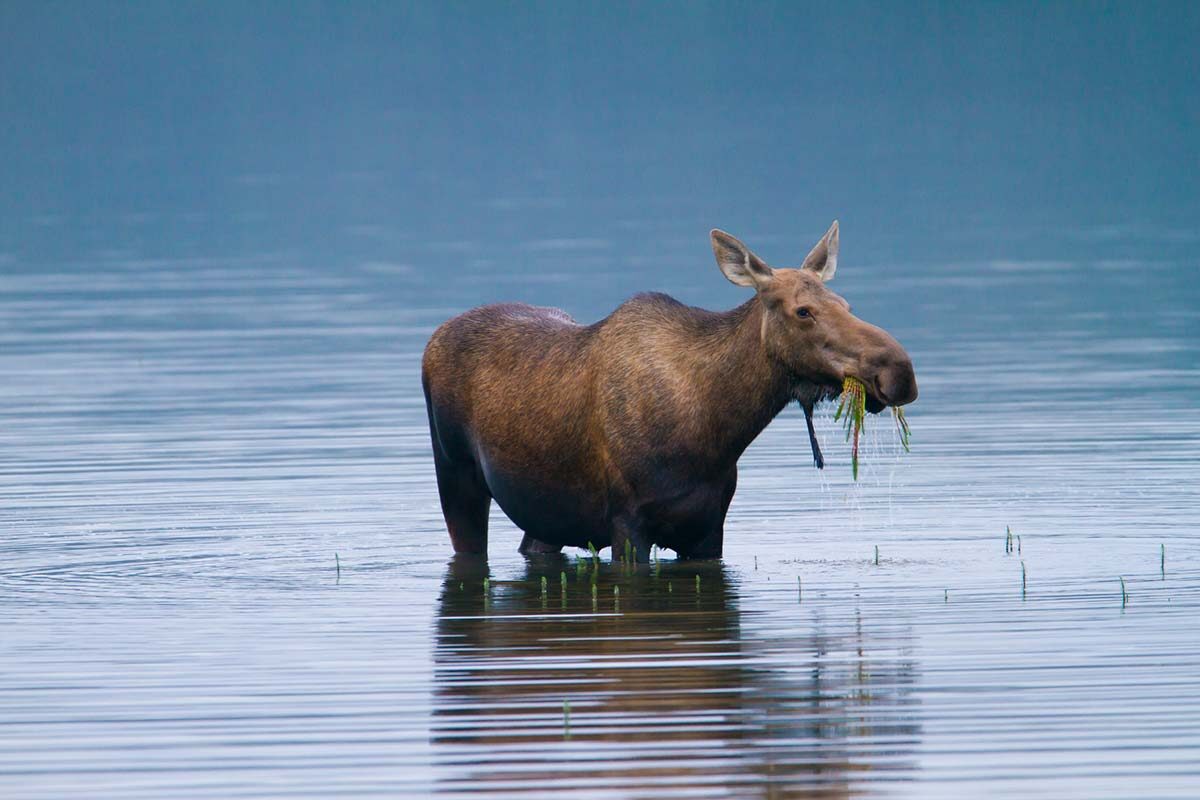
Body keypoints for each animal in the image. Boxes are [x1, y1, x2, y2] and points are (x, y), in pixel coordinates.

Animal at [424, 224, 916, 563]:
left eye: (846, 304)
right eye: (803, 311)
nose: (899, 371)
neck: (719, 427)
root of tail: (434, 339)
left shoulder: (709, 528)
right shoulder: (627, 524)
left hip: (544, 511)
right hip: (455, 475)